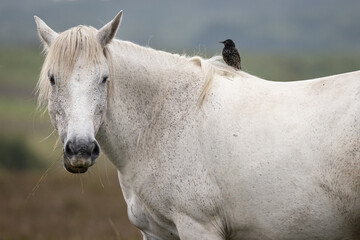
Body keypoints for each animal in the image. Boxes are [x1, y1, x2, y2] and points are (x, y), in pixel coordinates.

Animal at [34, 10, 360, 240]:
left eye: (104, 78)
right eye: (53, 79)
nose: (80, 150)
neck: (158, 122)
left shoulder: (198, 227)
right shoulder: (156, 233)